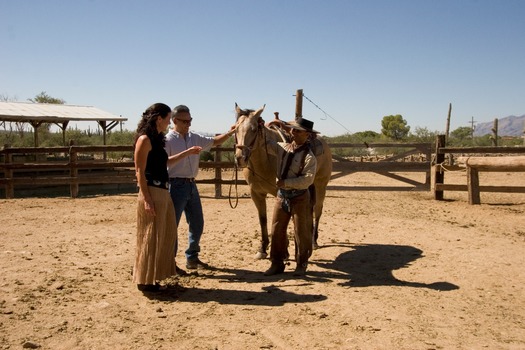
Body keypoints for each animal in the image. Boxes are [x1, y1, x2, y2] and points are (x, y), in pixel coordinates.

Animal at [233, 102, 332, 258]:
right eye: (235, 129)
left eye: (254, 129)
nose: (240, 158)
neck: (264, 160)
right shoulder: (256, 193)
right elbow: (263, 219)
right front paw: (262, 248)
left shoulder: (280, 192)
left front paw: (284, 250)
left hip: (321, 185)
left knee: (318, 210)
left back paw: (314, 241)